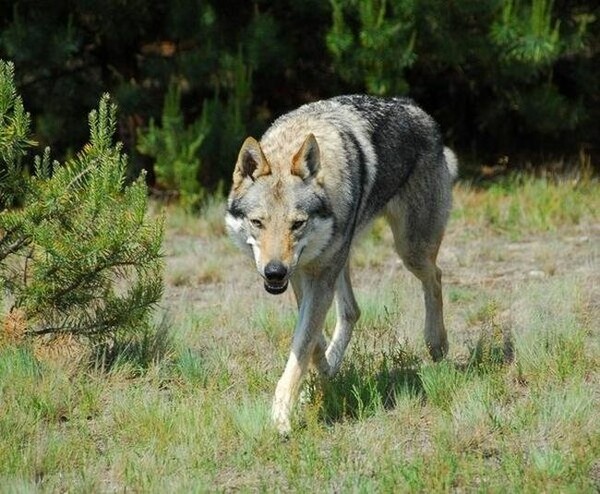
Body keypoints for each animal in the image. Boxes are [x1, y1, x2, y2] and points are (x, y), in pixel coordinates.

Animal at [225, 95, 454, 432]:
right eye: (258, 223)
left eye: (297, 224)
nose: (274, 272)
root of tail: (414, 108)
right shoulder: (302, 275)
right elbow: (310, 339)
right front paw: (322, 370)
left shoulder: (317, 278)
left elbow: (302, 345)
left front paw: (281, 417)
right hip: (342, 259)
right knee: (352, 310)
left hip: (410, 250)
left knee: (435, 277)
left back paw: (436, 343)